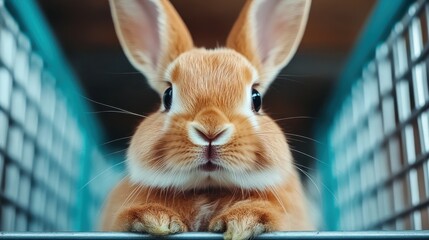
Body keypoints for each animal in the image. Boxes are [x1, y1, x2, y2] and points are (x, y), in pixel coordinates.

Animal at [101, 0, 312, 238]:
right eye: (167, 96)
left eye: (256, 98)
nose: (210, 130)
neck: (207, 189)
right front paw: (155, 219)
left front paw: (242, 222)